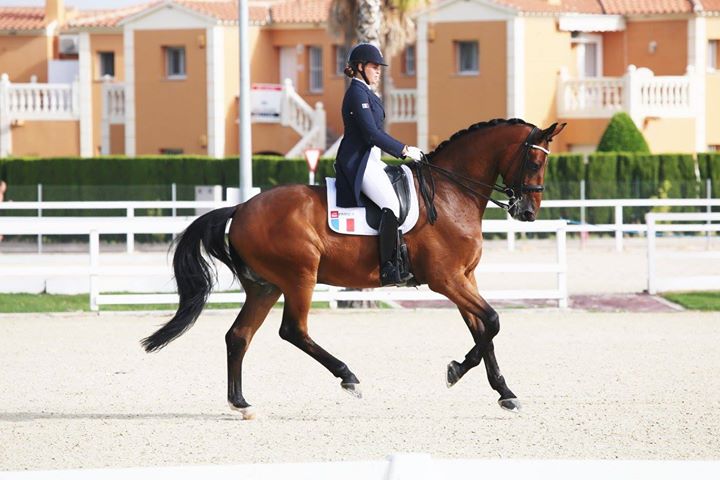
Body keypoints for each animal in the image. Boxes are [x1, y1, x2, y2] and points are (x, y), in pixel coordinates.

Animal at [143, 118, 564, 418]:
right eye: (535, 160)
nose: (528, 213)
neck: (450, 194)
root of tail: (241, 208)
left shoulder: (465, 278)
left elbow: (483, 330)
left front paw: (504, 392)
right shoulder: (445, 280)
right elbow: (492, 321)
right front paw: (456, 371)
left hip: (266, 286)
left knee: (239, 336)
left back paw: (241, 403)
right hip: (300, 277)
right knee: (292, 330)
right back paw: (348, 378)